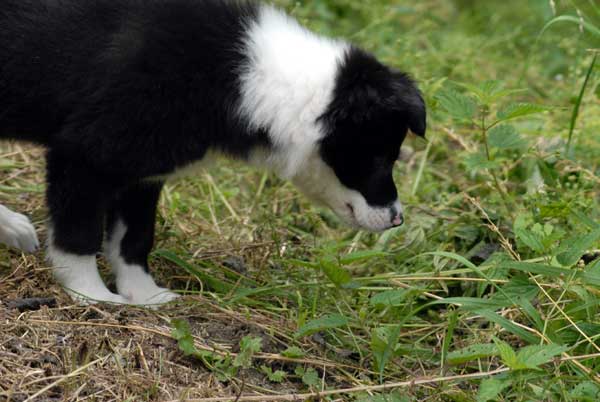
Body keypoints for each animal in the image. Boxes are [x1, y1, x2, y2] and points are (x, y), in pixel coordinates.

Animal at [0, 0, 424, 304]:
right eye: (376, 158)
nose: (397, 220)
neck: (239, 75)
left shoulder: (143, 174)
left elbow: (134, 238)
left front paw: (145, 295)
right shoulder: (84, 154)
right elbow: (79, 234)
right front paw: (93, 295)